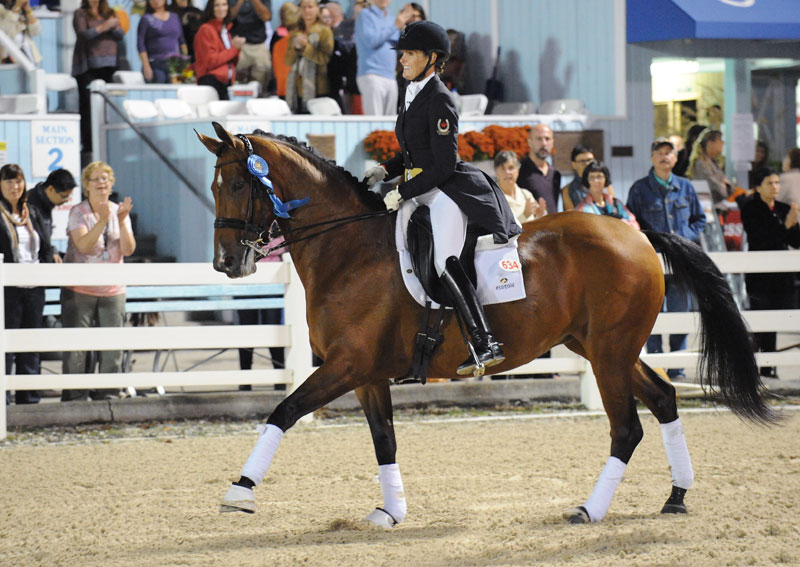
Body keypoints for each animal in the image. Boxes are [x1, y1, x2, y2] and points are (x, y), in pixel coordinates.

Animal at [195, 122, 776, 524]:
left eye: (239, 184)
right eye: (214, 185)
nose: (226, 263)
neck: (347, 248)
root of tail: (634, 232)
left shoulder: (346, 364)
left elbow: (284, 410)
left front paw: (239, 492)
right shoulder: (366, 374)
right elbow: (384, 440)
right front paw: (390, 512)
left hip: (610, 353)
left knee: (628, 427)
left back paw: (590, 509)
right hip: (602, 347)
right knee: (663, 399)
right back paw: (676, 495)